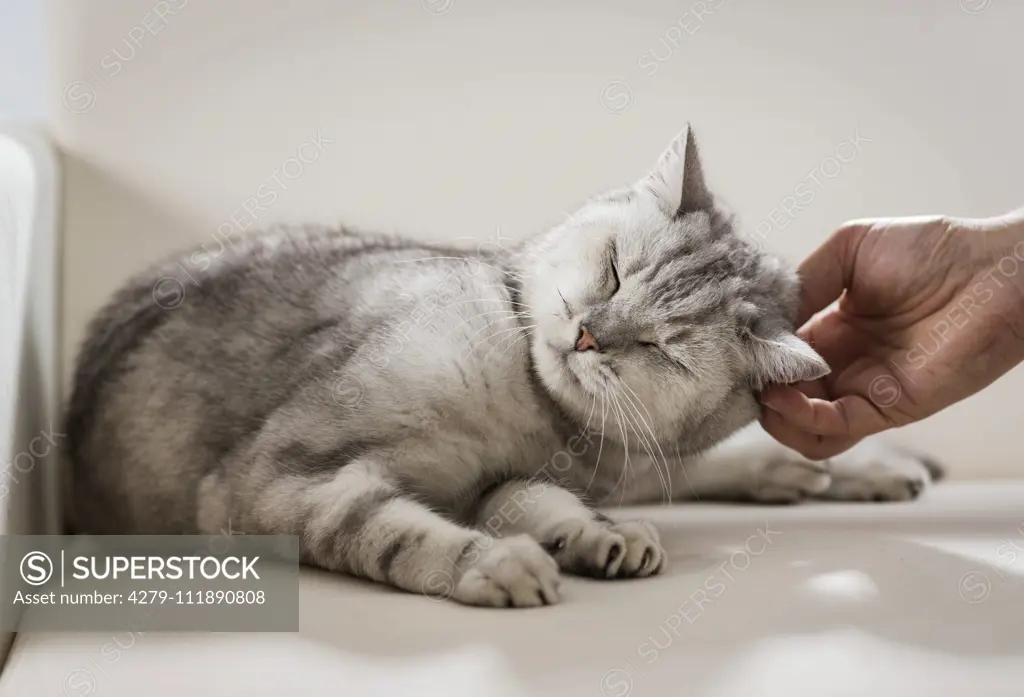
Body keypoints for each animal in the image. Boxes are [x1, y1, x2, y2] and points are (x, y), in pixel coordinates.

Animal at [64, 127, 942, 605]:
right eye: (614, 271)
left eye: (660, 345)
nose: (588, 334)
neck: (533, 409)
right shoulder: (273, 481)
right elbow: (393, 528)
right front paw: (498, 561)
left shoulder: (510, 479)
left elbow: (536, 500)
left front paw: (591, 537)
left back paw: (861, 468)